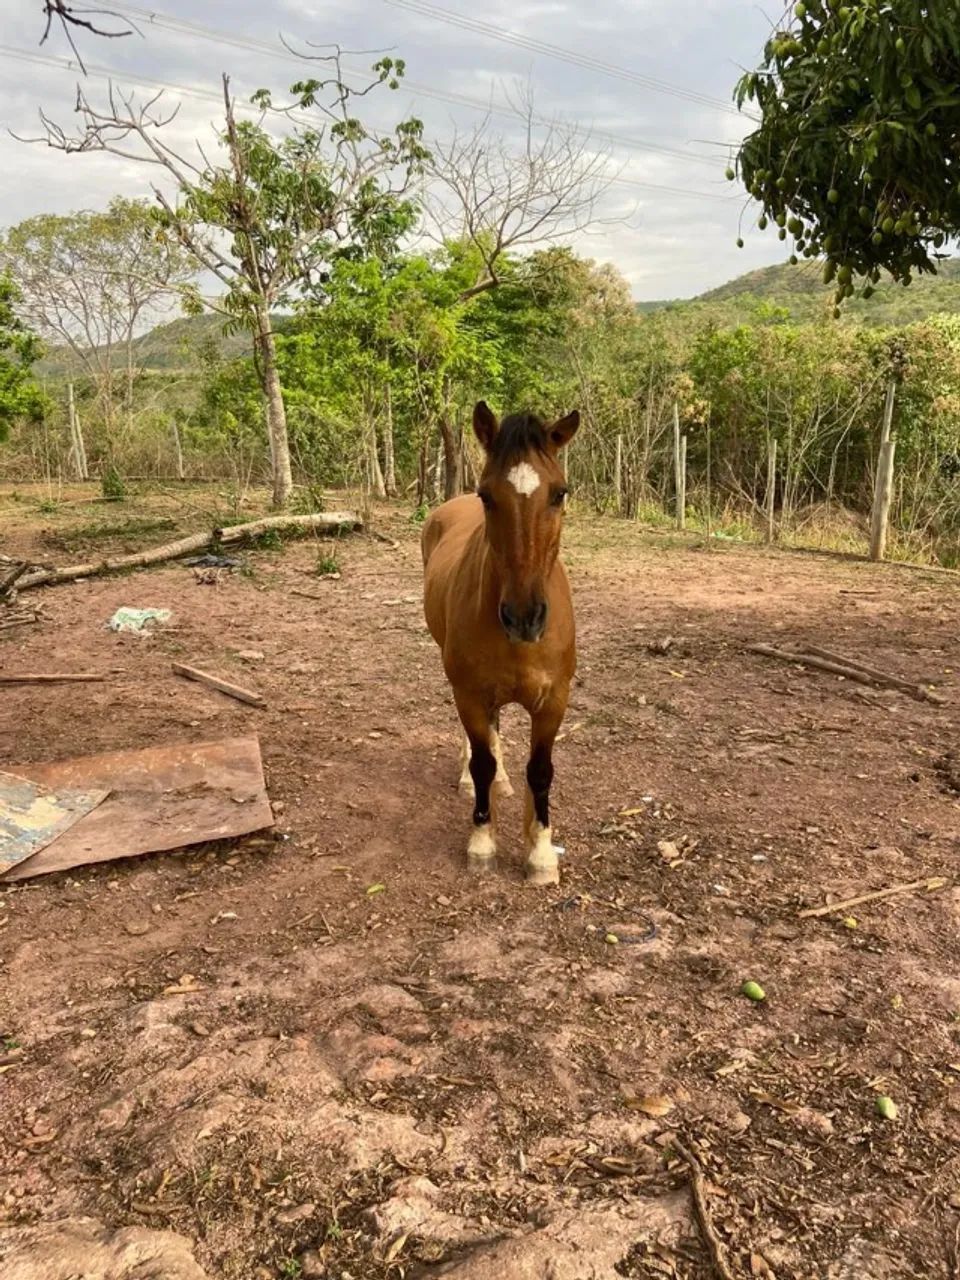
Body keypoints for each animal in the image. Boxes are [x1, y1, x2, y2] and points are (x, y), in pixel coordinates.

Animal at [421, 400, 580, 886]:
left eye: (559, 493)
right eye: (487, 495)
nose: (524, 616)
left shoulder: (553, 701)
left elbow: (541, 772)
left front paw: (541, 851)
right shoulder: (470, 694)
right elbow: (481, 760)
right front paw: (482, 842)